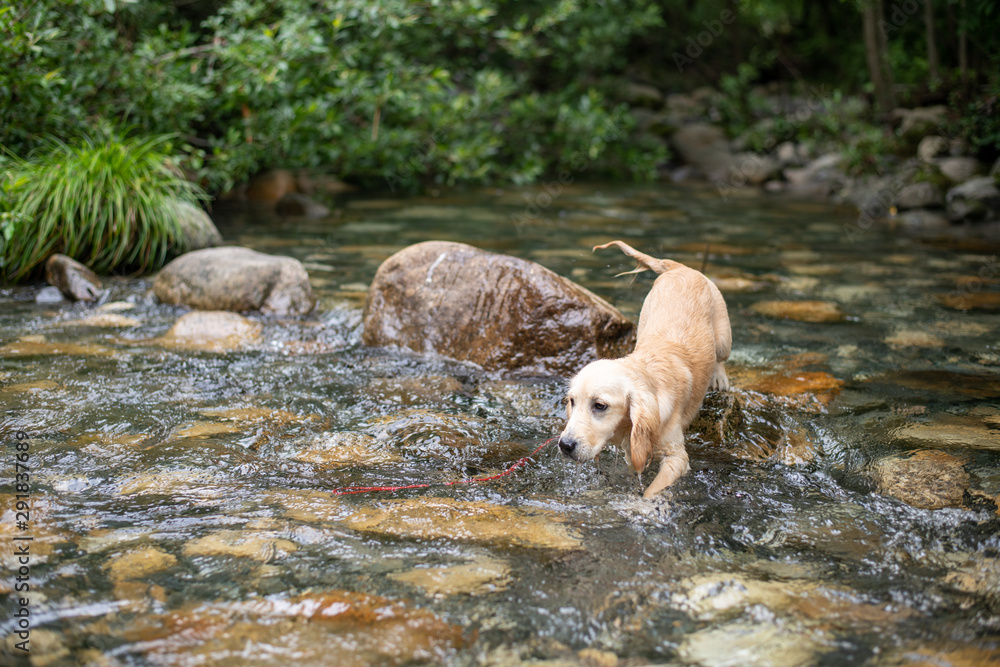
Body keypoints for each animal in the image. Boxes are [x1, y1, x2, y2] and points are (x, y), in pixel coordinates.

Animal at [560, 240, 732, 496]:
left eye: (600, 405)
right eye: (572, 401)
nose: (565, 445)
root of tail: (679, 268)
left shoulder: (676, 458)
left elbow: (653, 490)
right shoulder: (633, 449)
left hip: (723, 339)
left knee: (721, 358)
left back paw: (719, 377)